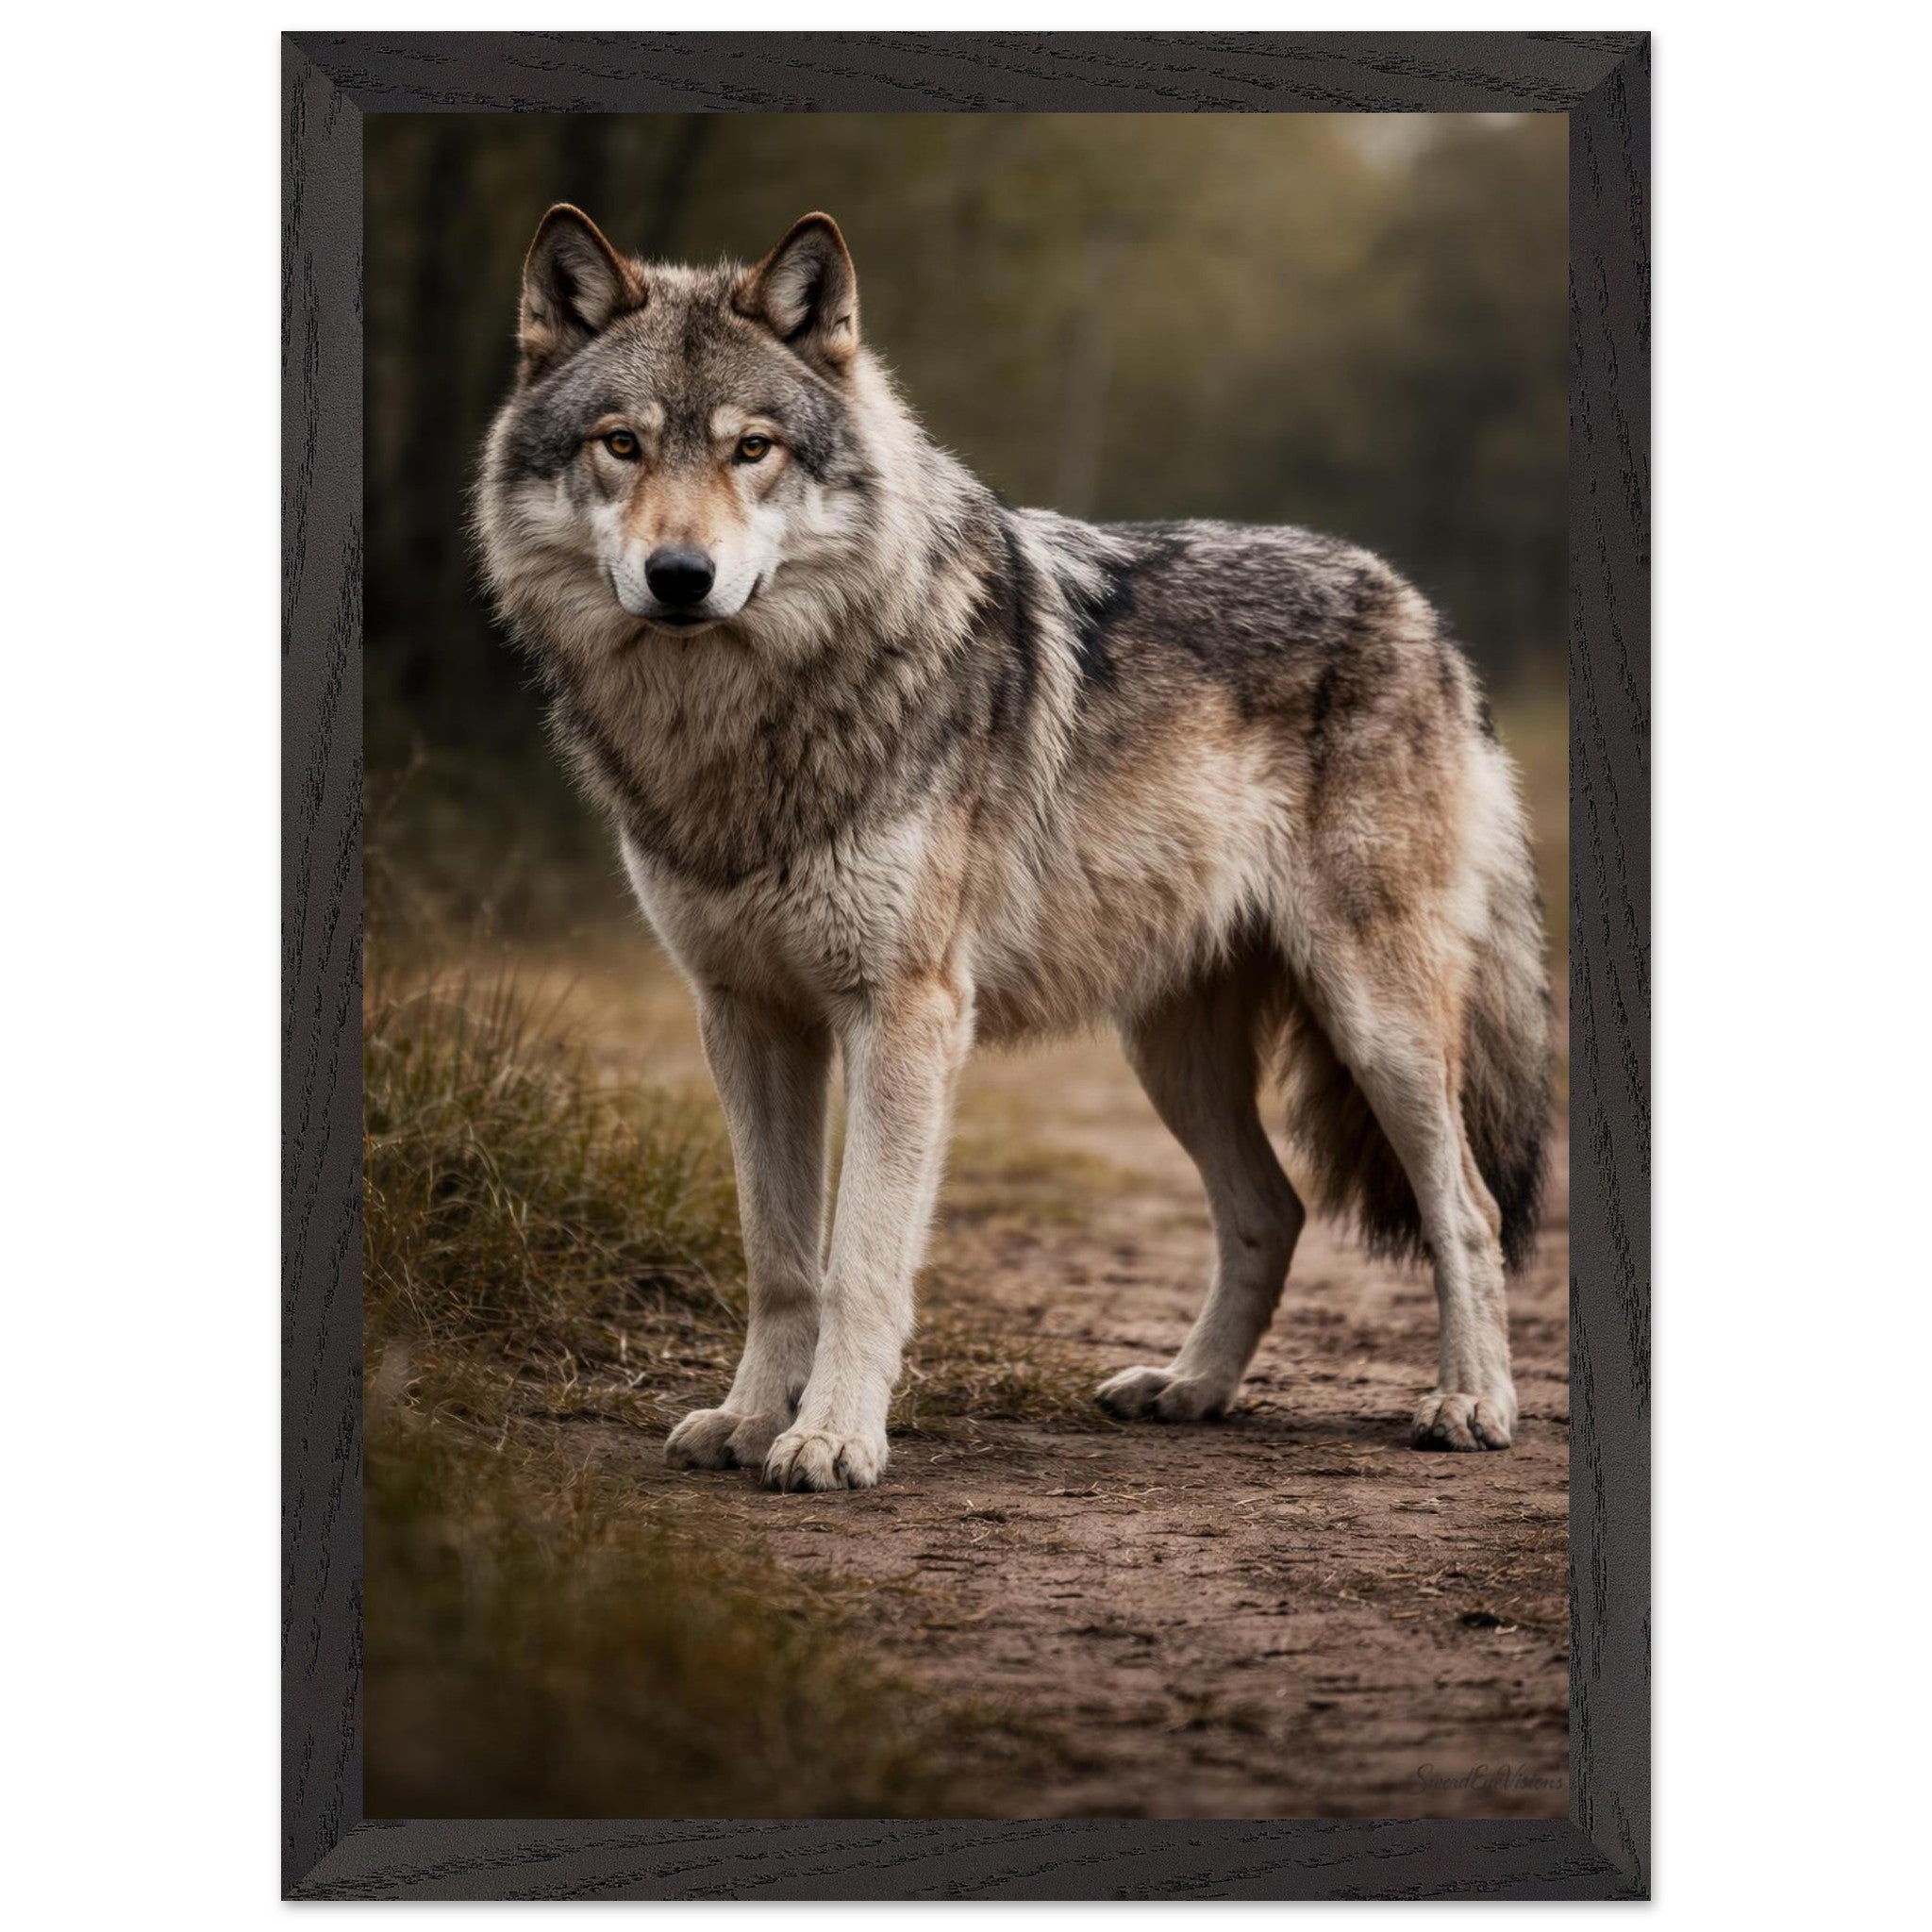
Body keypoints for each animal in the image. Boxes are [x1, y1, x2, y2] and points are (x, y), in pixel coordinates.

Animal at [476, 206, 1552, 1493]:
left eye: (752, 450)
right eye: (622, 445)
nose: (680, 577)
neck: (742, 726)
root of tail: (1418, 611)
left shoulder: (906, 1013)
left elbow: (860, 1259)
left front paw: (831, 1437)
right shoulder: (743, 1015)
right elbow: (778, 1257)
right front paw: (744, 1419)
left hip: (1374, 1022)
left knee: (1467, 1210)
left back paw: (1470, 1401)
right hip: (1170, 1051)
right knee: (1271, 1210)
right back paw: (1188, 1387)